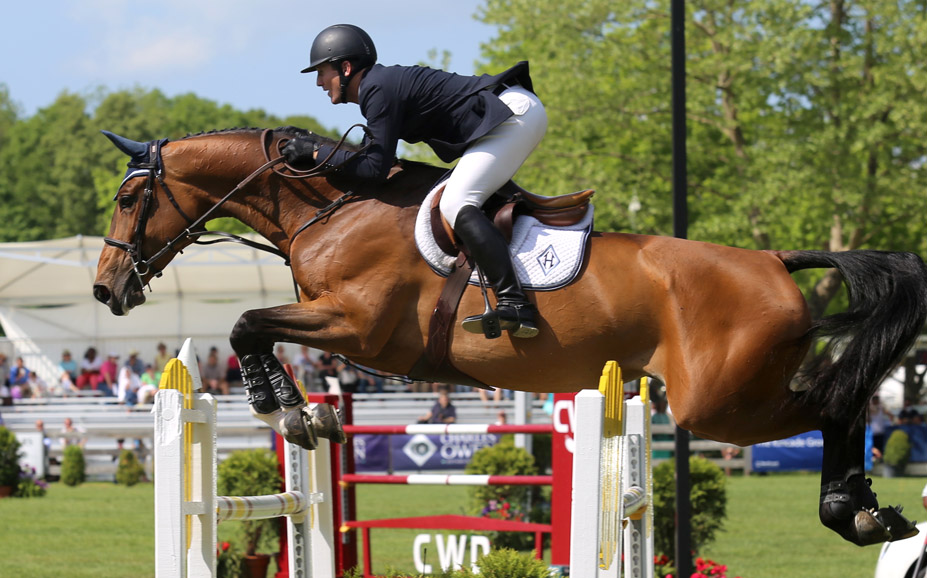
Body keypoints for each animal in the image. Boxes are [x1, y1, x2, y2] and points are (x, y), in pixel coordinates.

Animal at [92, 126, 927, 544]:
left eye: (131, 198)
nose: (105, 288)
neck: (330, 207)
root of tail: (775, 261)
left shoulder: (360, 329)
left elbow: (246, 324)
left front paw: (287, 411)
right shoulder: (348, 334)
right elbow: (259, 332)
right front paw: (306, 412)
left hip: (719, 402)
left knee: (835, 404)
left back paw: (852, 511)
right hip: (729, 394)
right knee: (841, 402)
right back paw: (865, 510)